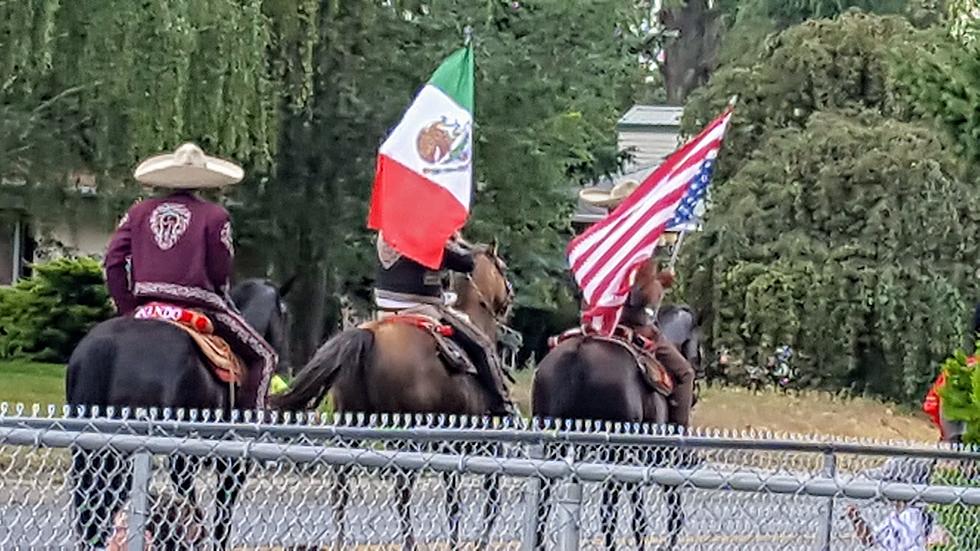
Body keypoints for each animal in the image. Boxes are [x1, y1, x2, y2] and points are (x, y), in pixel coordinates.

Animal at [268, 245, 512, 551]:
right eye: (502, 267)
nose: (509, 298)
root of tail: (367, 336)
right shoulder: (479, 442)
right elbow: (476, 497)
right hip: (405, 437)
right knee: (402, 491)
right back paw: (408, 542)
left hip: (351, 425)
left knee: (341, 485)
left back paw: (340, 539)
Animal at [528, 262, 696, 551]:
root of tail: (578, 353)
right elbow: (644, 510)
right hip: (613, 451)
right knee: (608, 509)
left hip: (554, 441)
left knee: (544, 501)